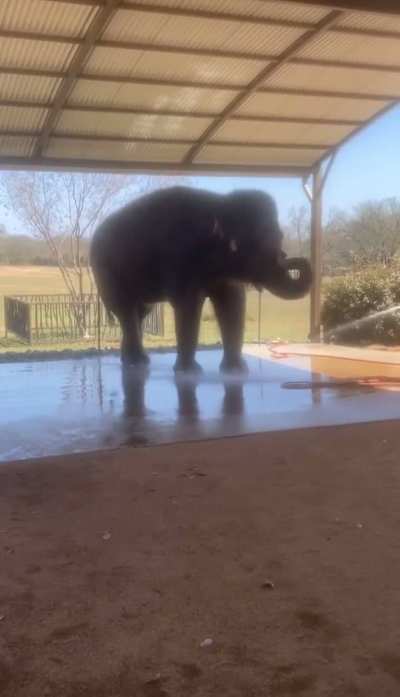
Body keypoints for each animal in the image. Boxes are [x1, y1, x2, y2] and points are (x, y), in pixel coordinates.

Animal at [90, 186, 312, 373]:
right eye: (257, 244)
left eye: (280, 237)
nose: (288, 257)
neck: (220, 203)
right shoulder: (179, 258)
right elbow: (189, 304)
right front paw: (189, 372)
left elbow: (233, 302)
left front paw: (236, 371)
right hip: (106, 272)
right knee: (125, 309)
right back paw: (137, 363)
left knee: (141, 312)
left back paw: (133, 361)